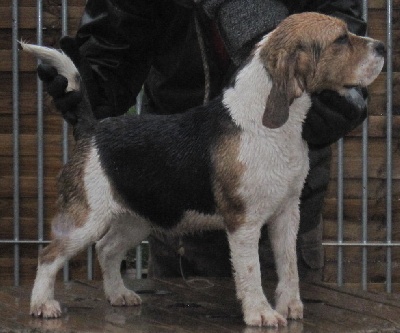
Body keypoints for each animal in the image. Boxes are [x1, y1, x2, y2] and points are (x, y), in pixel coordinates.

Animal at [21, 11, 384, 326]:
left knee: (107, 249)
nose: (381, 47)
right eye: (340, 39)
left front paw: (290, 306)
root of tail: (92, 128)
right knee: (49, 255)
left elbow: (289, 266)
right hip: (86, 220)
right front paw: (260, 313)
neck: (268, 125)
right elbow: (251, 271)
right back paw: (42, 304)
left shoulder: (287, 214)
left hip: (138, 218)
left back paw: (118, 294)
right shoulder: (243, 222)